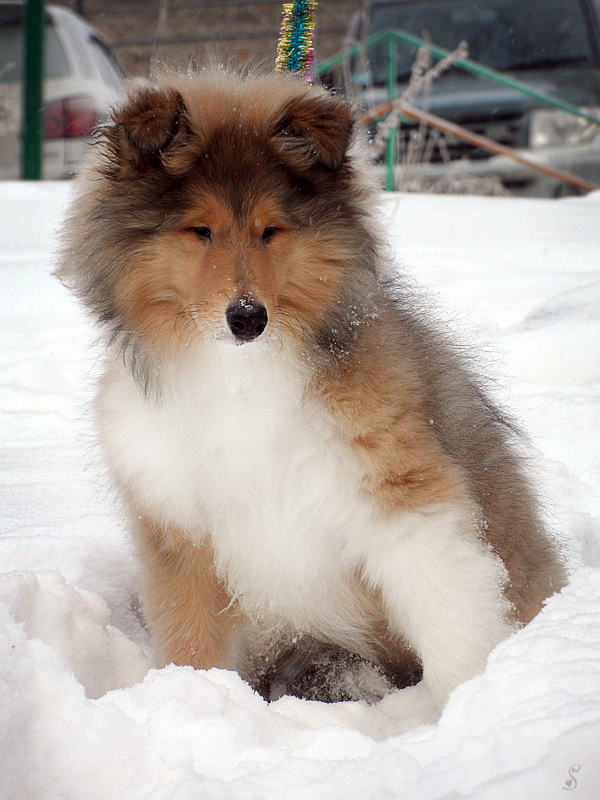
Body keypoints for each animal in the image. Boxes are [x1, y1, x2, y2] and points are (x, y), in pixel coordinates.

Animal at [55, 67, 564, 708]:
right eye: (200, 230)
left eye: (271, 230)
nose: (247, 318)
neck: (241, 374)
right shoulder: (181, 527)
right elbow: (192, 635)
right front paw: (195, 701)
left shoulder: (402, 492)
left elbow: (447, 609)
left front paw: (467, 706)